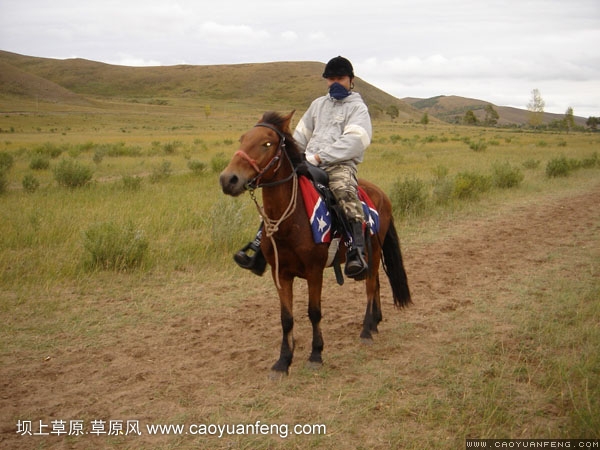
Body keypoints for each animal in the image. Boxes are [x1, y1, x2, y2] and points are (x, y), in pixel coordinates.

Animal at [220, 110, 412, 376]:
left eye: (267, 143)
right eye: (242, 139)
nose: (228, 179)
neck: (291, 221)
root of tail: (381, 194)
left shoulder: (314, 272)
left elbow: (314, 313)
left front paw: (316, 354)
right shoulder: (280, 274)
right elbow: (286, 318)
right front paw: (283, 361)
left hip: (373, 252)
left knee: (371, 286)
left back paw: (366, 329)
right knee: (377, 285)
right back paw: (375, 323)